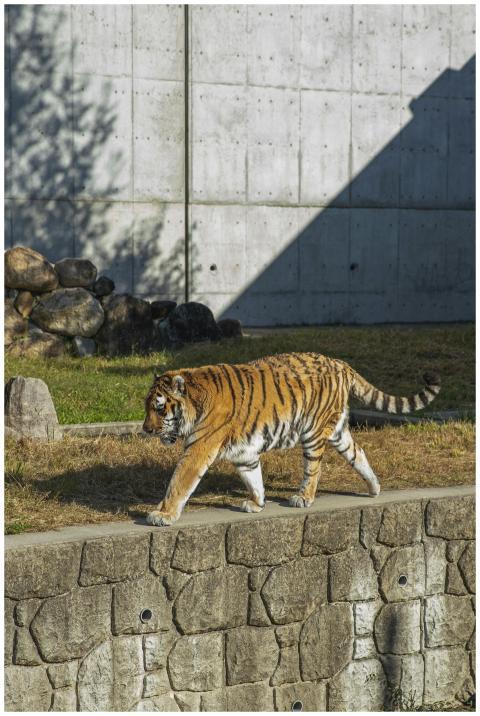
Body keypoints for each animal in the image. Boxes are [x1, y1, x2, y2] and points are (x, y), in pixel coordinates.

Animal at [142, 352, 441, 526]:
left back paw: (303, 497)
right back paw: (374, 487)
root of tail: (341, 363)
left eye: (159, 408)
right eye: (147, 407)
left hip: (314, 431)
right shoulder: (244, 453)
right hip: (338, 431)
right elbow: (253, 478)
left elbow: (179, 482)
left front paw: (163, 514)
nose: (146, 429)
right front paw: (257, 503)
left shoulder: (199, 448)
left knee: (313, 469)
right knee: (358, 453)